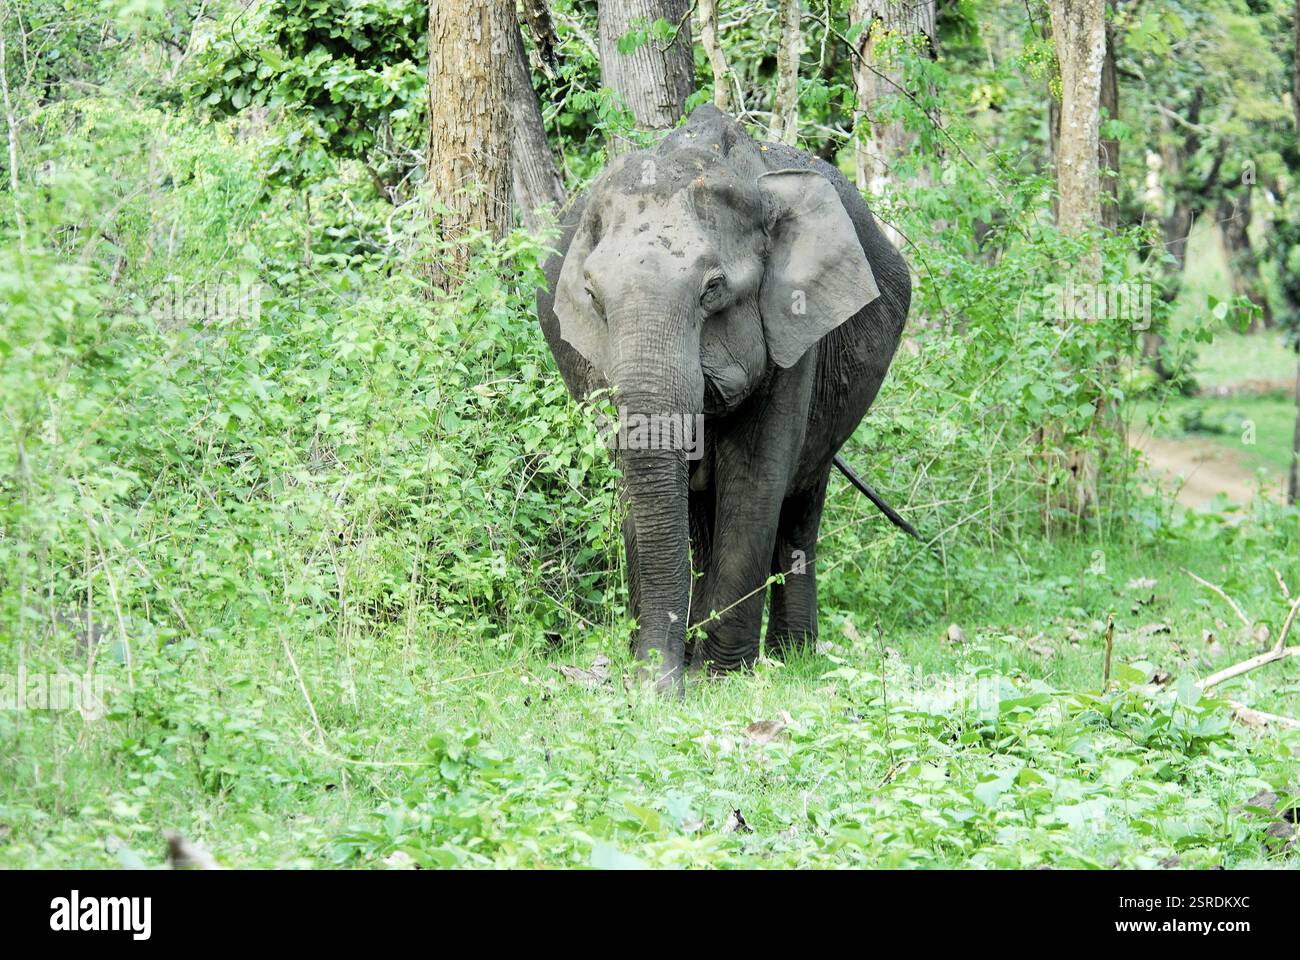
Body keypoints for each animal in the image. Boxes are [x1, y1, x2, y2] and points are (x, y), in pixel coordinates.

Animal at [536, 104, 912, 693]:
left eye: (712, 288)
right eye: (593, 296)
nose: (657, 683)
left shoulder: (794, 332)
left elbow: (755, 476)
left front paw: (718, 677)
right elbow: (635, 478)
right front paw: (664, 671)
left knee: (800, 500)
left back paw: (791, 655)